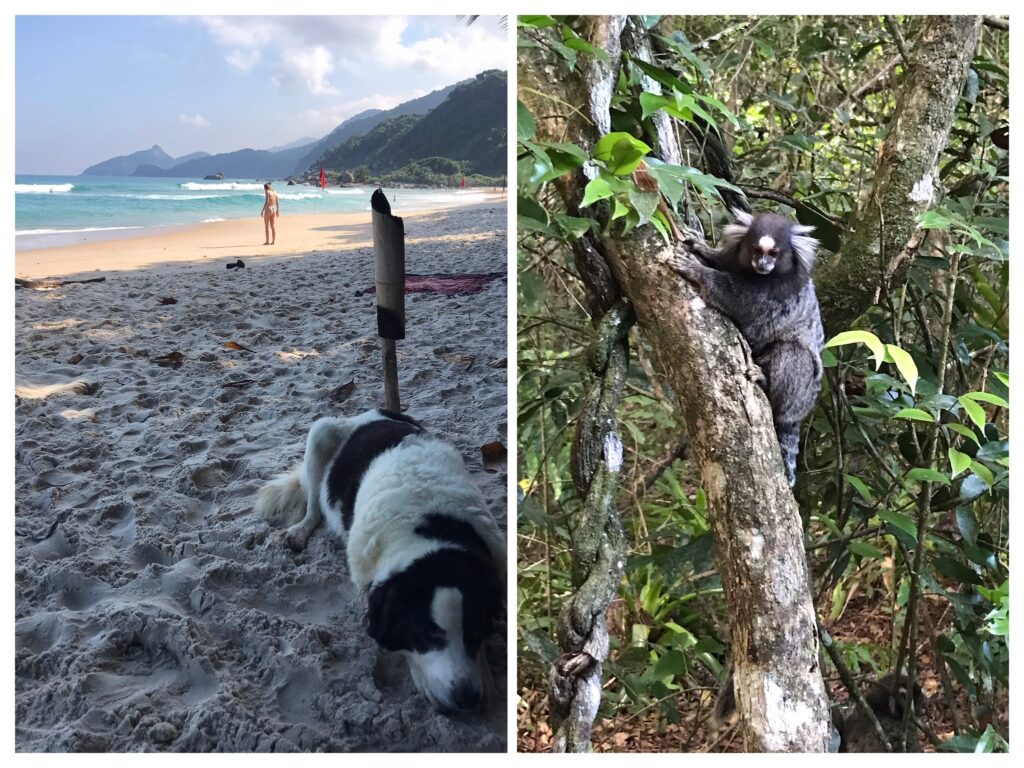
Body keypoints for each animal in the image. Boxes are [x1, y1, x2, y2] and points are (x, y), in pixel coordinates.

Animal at [256, 409, 503, 716]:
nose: (467, 698)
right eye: (429, 635)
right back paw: (299, 531)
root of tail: (371, 413)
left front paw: (485, 675)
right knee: (314, 508)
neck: (430, 527)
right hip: (320, 433)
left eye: (476, 630)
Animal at [663, 210, 823, 487]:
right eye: (757, 249)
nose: (763, 264)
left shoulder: (772, 295)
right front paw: (702, 247)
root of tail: (800, 414)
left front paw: (696, 270)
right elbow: (722, 261)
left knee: (793, 354)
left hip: (801, 396)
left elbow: (733, 299)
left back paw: (766, 383)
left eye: (774, 253)